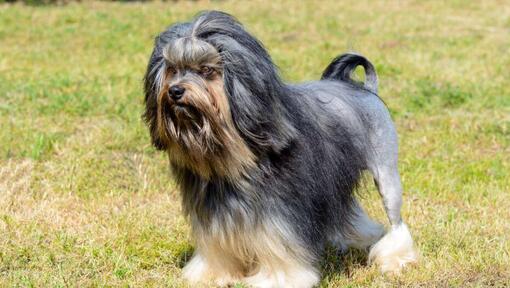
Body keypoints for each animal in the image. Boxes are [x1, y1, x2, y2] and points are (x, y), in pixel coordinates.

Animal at [141, 10, 416, 286]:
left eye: (207, 70)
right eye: (173, 69)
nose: (175, 91)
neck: (234, 153)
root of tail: (365, 89)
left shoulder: (280, 208)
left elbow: (278, 243)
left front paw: (280, 278)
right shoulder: (213, 205)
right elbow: (216, 243)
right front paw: (212, 274)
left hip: (386, 173)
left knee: (396, 222)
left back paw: (394, 259)